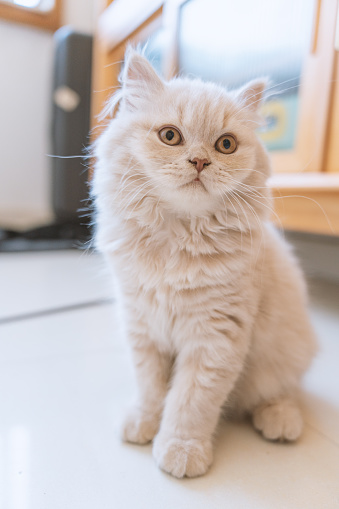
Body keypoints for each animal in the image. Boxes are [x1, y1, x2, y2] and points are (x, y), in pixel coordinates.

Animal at [92, 46, 318, 476]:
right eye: (170, 136)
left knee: (284, 390)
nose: (199, 161)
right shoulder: (142, 325)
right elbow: (151, 387)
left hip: (284, 352)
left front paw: (180, 450)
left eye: (226, 145)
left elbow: (191, 401)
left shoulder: (214, 335)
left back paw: (280, 421)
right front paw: (143, 423)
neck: (178, 239)